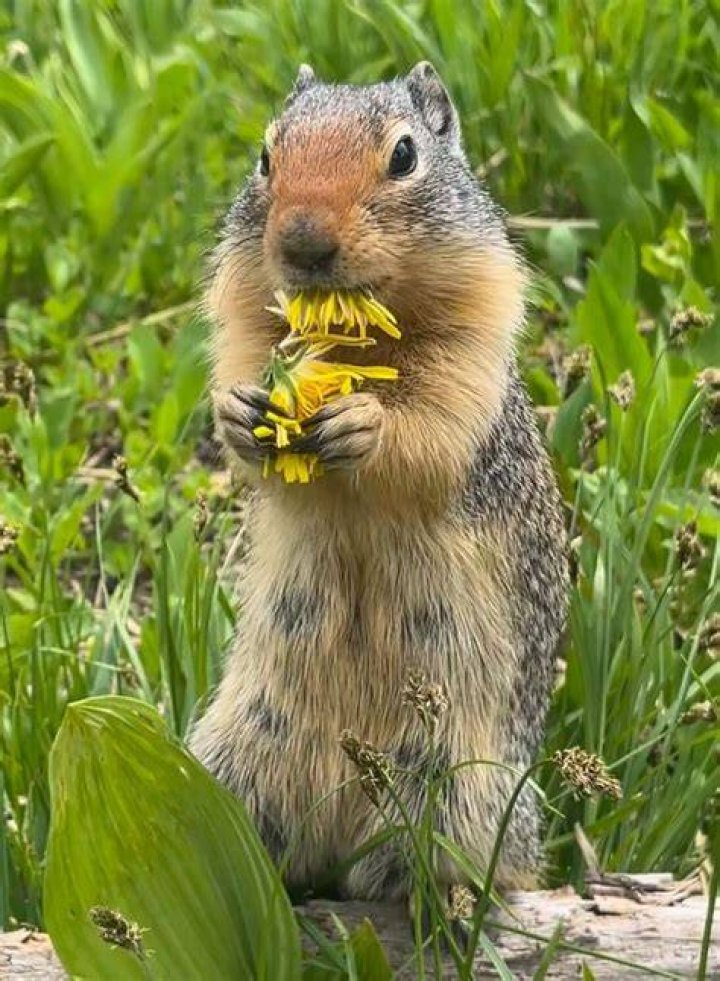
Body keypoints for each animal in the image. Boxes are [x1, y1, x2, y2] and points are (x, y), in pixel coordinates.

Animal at [190, 62, 569, 903]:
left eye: (404, 155)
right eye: (266, 155)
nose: (302, 240)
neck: (354, 333)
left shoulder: (473, 346)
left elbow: (432, 427)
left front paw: (363, 425)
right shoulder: (244, 314)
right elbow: (245, 361)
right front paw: (240, 412)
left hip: (459, 785)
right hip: (234, 754)